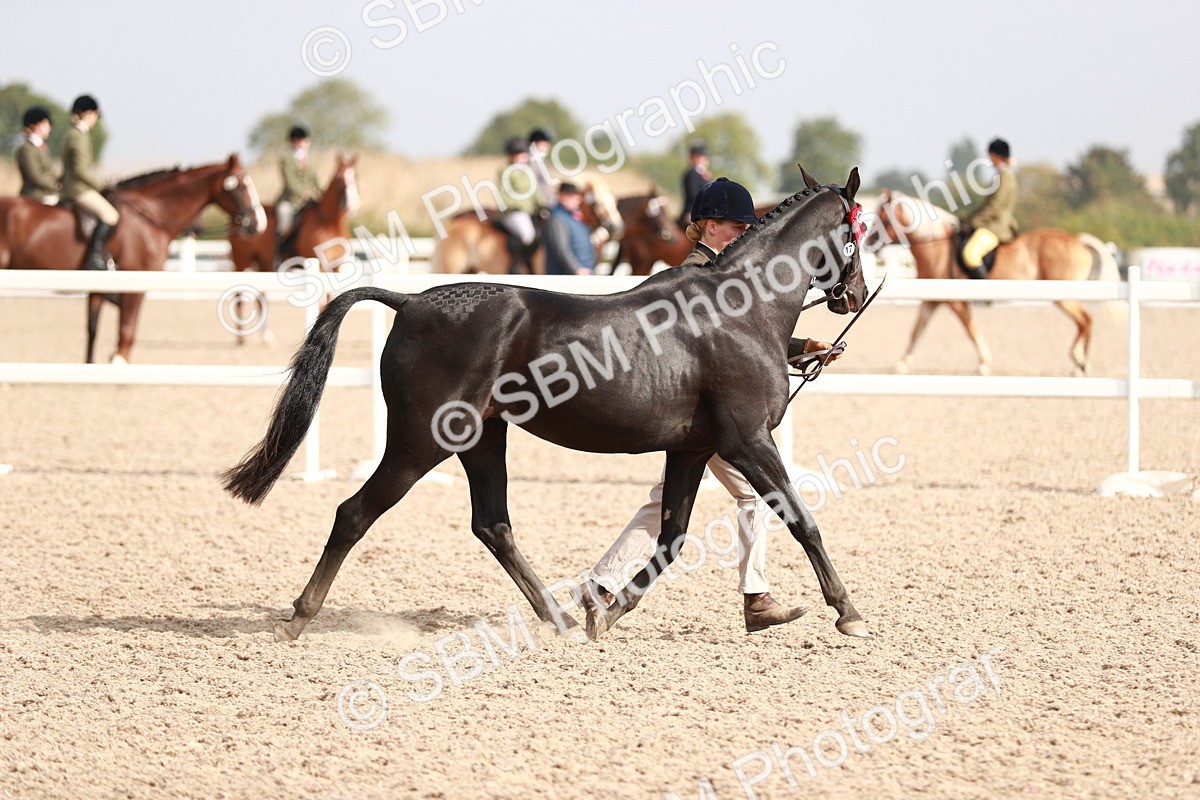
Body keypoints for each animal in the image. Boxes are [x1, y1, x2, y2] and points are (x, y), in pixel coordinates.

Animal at [0, 155, 265, 363]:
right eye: (240, 185)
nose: (259, 223)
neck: (149, 216)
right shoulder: (133, 281)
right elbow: (127, 327)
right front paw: (119, 362)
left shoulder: (100, 287)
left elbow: (94, 330)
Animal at [226, 155, 360, 341]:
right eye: (340, 179)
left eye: (356, 176)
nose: (352, 205)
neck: (329, 223)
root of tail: (239, 220)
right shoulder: (319, 264)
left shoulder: (336, 267)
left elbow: (329, 298)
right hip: (242, 260)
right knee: (238, 293)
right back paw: (241, 337)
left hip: (264, 264)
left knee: (262, 295)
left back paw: (267, 337)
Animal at [874, 189, 1119, 375]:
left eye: (883, 216)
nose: (869, 242)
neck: (937, 247)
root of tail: (1076, 239)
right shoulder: (931, 300)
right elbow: (917, 329)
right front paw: (902, 363)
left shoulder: (956, 301)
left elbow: (971, 329)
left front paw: (984, 364)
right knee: (1085, 321)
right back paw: (1081, 364)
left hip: (1063, 296)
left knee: (1085, 320)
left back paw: (1079, 362)